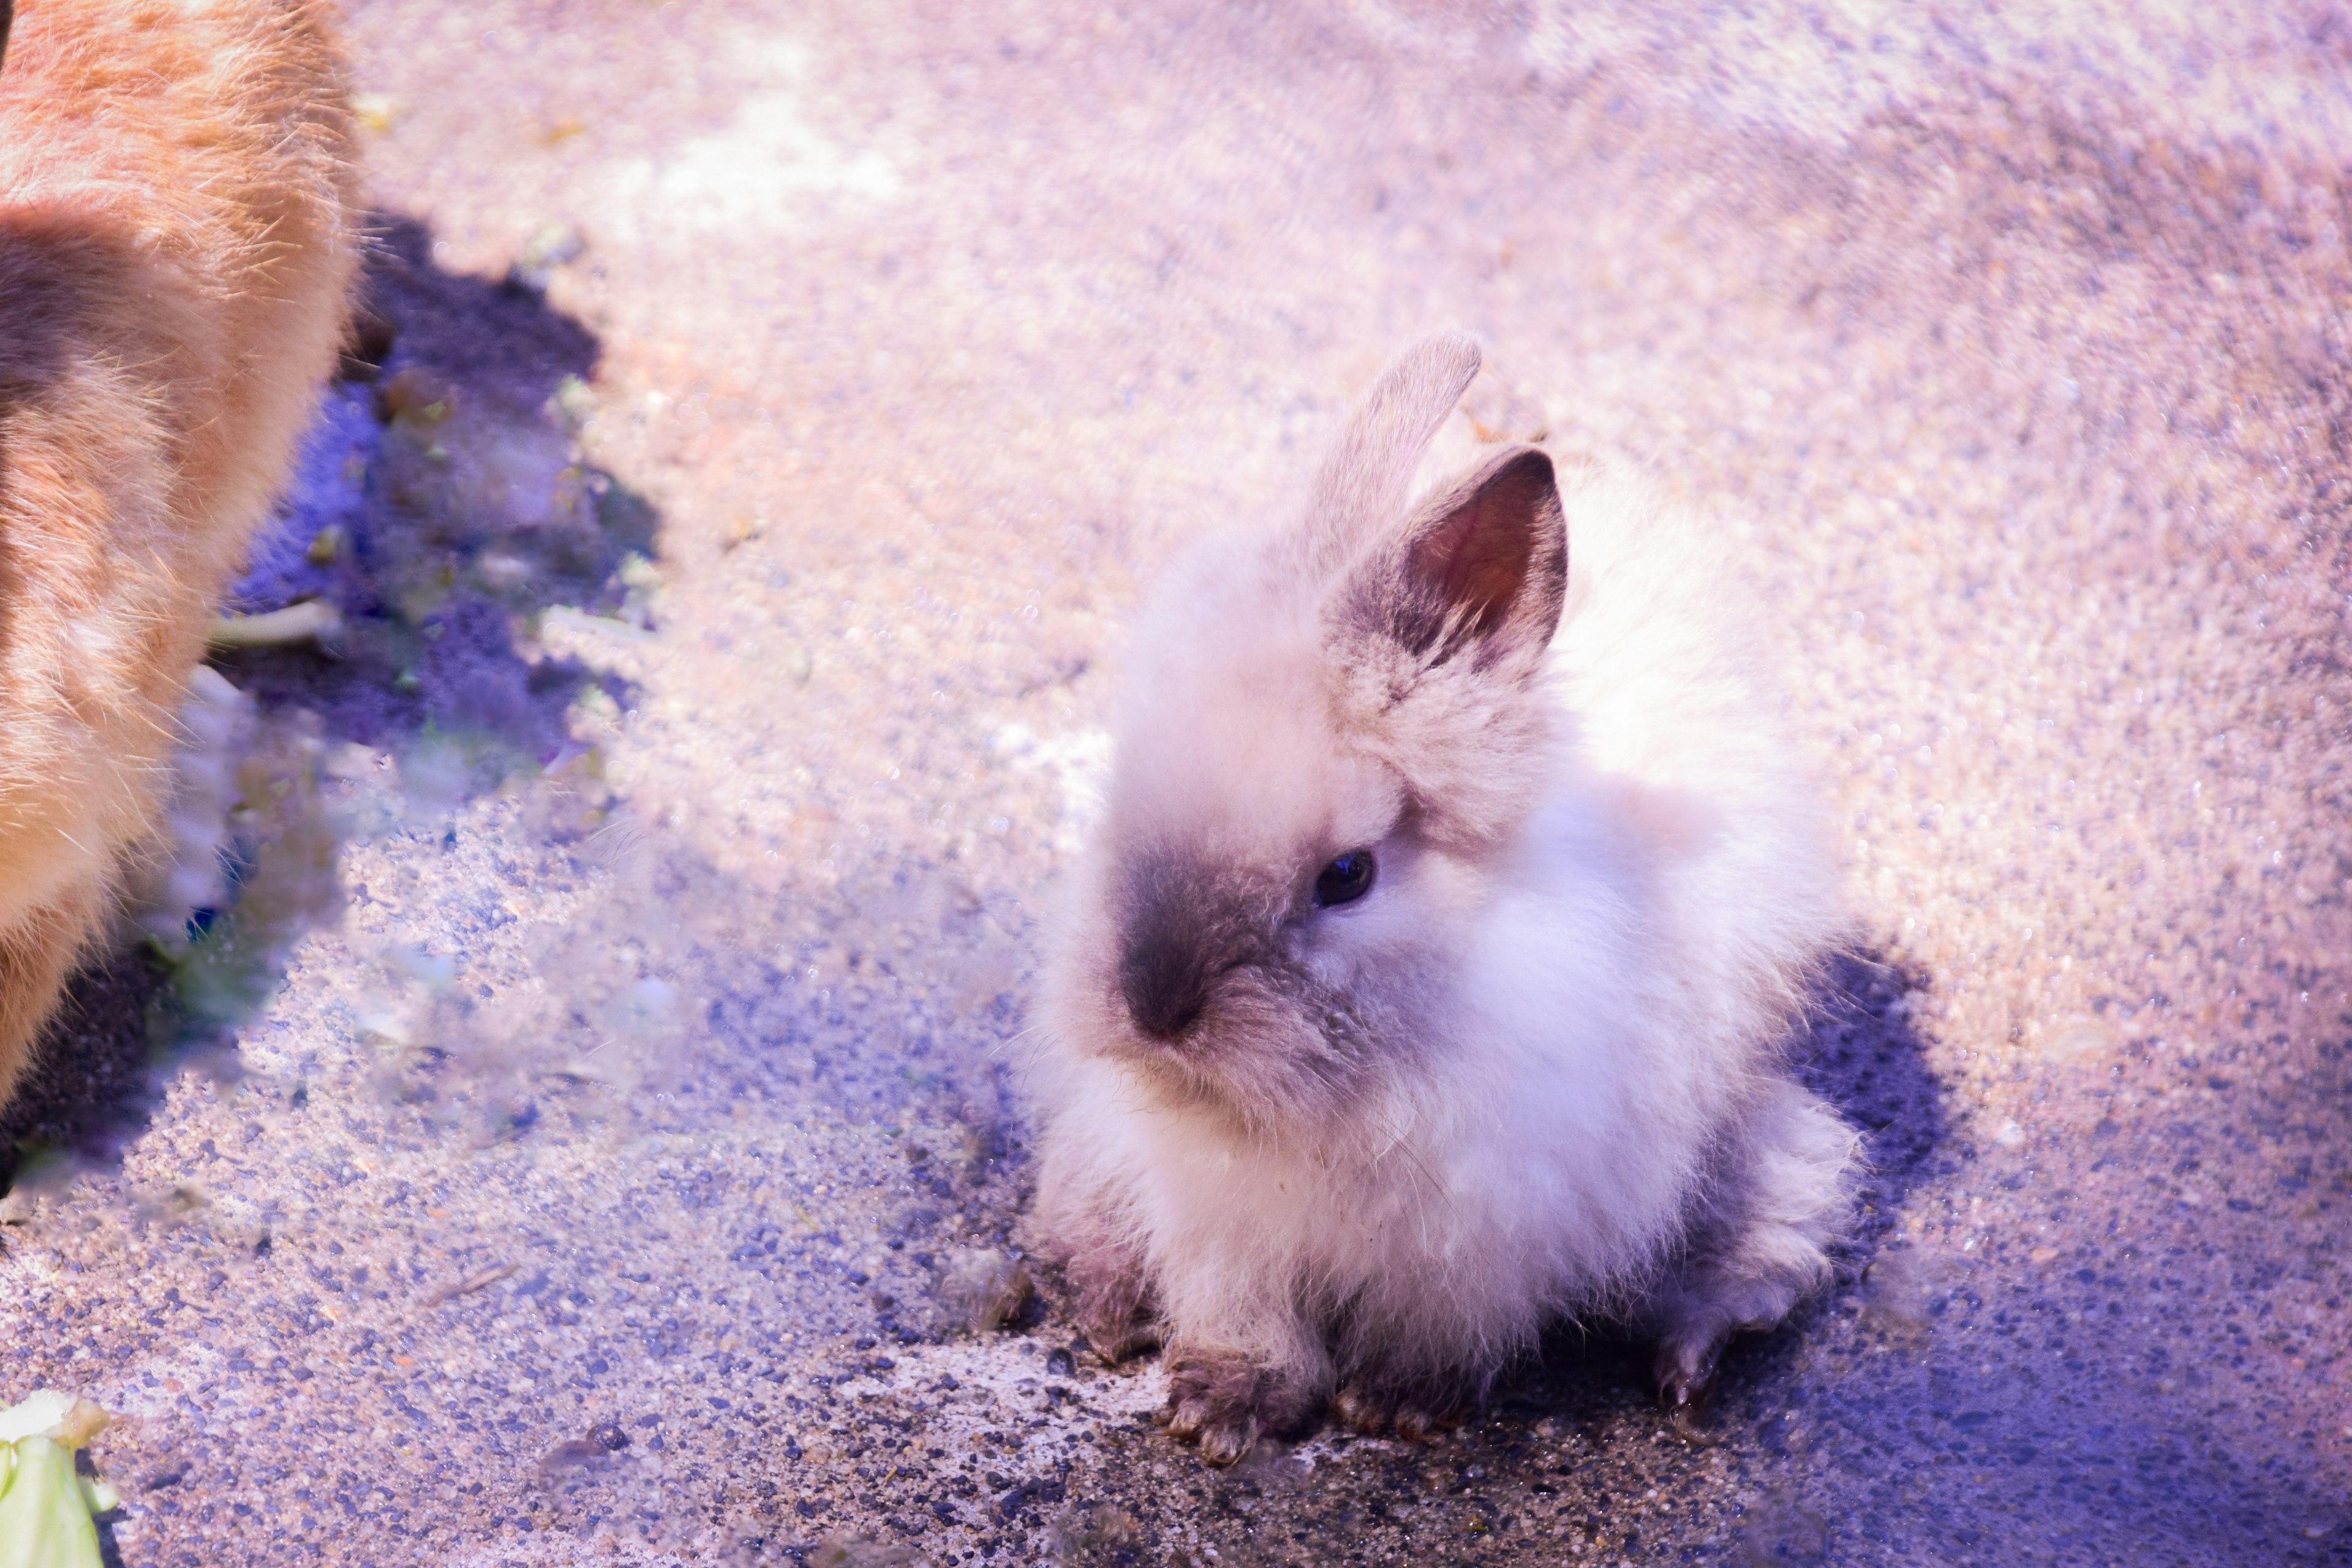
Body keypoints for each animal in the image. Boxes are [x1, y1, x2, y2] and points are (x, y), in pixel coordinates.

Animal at [1030, 338, 1853, 1466]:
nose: (1155, 1012)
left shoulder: (1490, 1226)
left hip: (1754, 1152)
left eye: (1346, 875)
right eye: (1126, 797)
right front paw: (1223, 1407)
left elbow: (1443, 1329)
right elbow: (1242, 1313)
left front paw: (1396, 1403)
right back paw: (1111, 1320)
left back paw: (1685, 1367)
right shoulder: (1211, 1214)